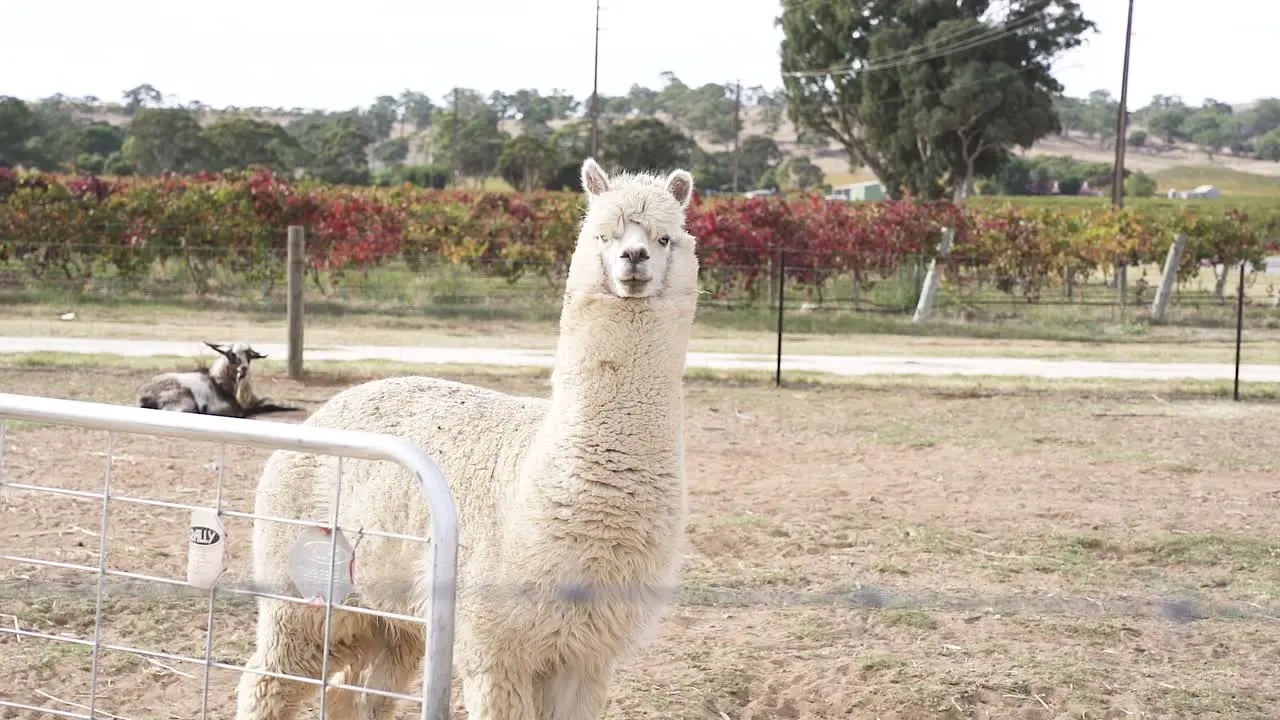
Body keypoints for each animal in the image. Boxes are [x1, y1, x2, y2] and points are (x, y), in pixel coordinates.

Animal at [136, 340, 298, 417]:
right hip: (182, 401)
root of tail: (144, 397)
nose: (243, 369)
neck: (218, 382)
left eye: (249, 357)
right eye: (232, 355)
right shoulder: (233, 410)